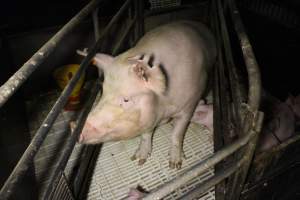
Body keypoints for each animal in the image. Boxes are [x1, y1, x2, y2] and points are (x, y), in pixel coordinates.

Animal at [75, 20, 216, 169]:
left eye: (126, 100)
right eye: (103, 90)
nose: (74, 127)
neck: (164, 106)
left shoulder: (189, 106)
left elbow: (177, 134)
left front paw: (175, 165)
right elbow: (146, 134)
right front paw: (138, 160)